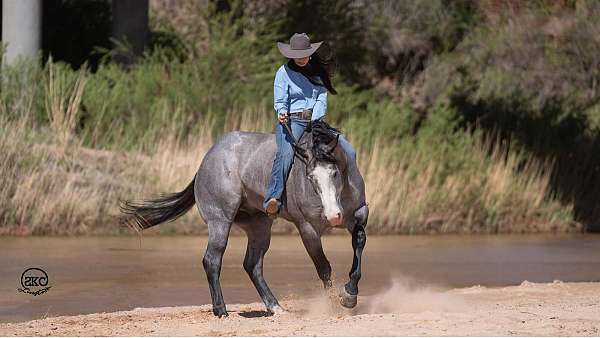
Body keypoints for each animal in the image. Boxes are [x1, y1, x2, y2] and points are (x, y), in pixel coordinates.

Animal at [119, 121, 368, 316]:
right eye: (310, 177)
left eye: (335, 172)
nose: (333, 216)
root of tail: (208, 159)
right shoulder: (307, 229)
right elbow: (323, 267)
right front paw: (335, 304)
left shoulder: (359, 213)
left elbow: (359, 243)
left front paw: (350, 294)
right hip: (220, 222)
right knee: (212, 260)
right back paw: (221, 311)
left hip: (260, 226)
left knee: (252, 265)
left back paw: (276, 308)